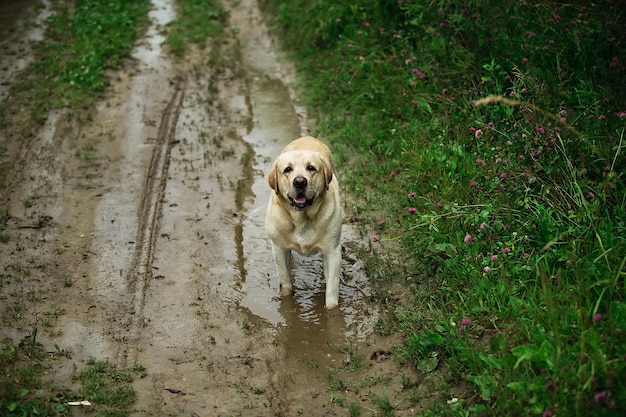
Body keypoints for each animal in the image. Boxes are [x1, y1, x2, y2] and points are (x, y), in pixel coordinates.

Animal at [264, 135, 342, 308]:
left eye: (311, 168)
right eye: (287, 169)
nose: (300, 181)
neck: (301, 219)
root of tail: (307, 137)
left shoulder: (332, 251)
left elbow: (331, 293)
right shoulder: (278, 248)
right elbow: (285, 284)